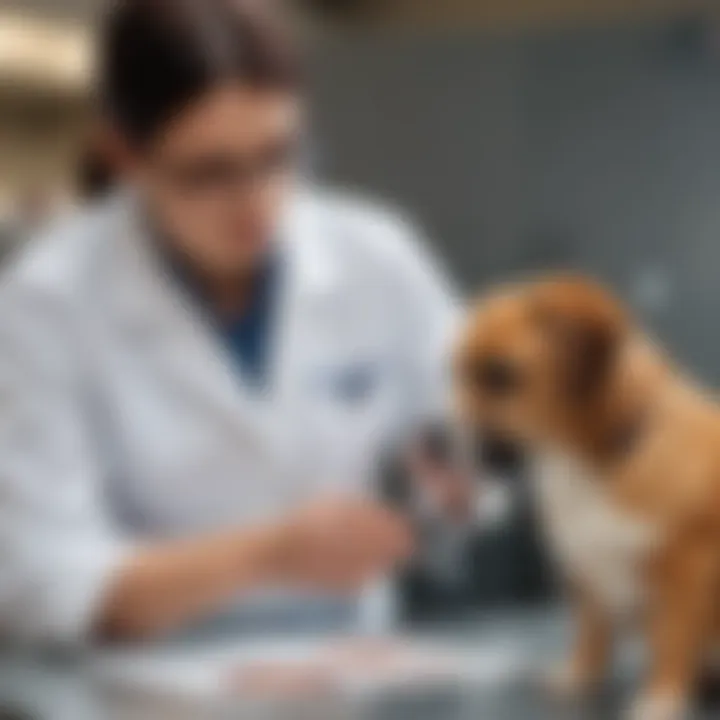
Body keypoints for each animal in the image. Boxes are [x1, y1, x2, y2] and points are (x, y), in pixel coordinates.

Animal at [458, 274, 720, 720]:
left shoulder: (685, 574)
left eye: (500, 376)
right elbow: (591, 632)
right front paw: (578, 675)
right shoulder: (586, 570)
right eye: (458, 375)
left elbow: (671, 642)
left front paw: (660, 697)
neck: (592, 463)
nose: (447, 443)